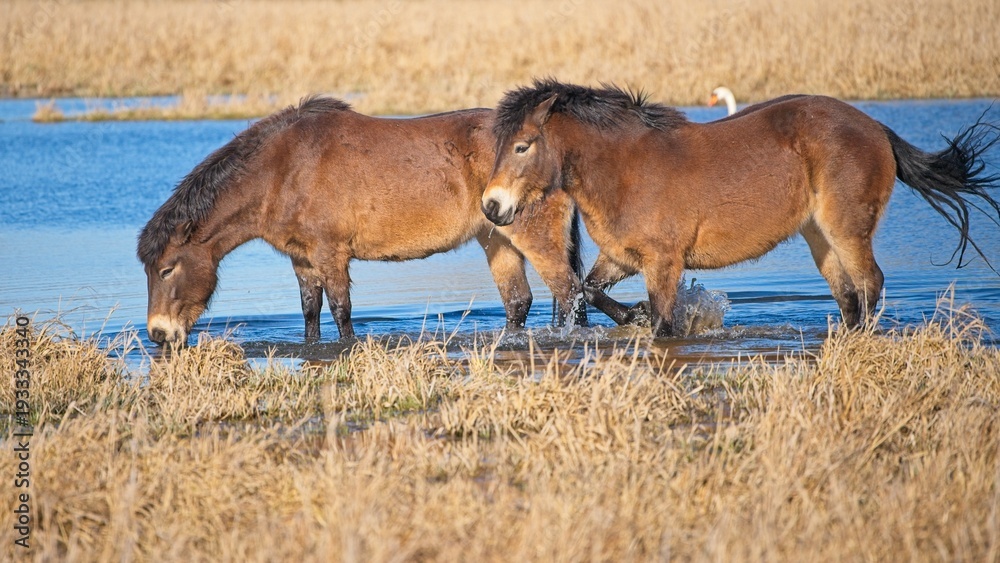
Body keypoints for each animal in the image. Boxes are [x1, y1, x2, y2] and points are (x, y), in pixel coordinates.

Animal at [138, 96, 587, 346]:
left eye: (166, 269)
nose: (158, 334)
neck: (282, 169)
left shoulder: (330, 254)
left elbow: (341, 310)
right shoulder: (303, 259)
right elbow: (310, 312)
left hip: (533, 237)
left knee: (570, 293)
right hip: (497, 238)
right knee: (519, 301)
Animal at [480, 79, 1000, 337]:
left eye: (523, 146)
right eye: (501, 146)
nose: (492, 206)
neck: (626, 166)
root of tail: (875, 127)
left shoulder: (663, 262)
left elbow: (665, 325)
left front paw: (650, 320)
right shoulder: (623, 257)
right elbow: (589, 290)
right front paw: (633, 316)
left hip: (847, 229)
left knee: (870, 286)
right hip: (819, 236)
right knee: (849, 296)